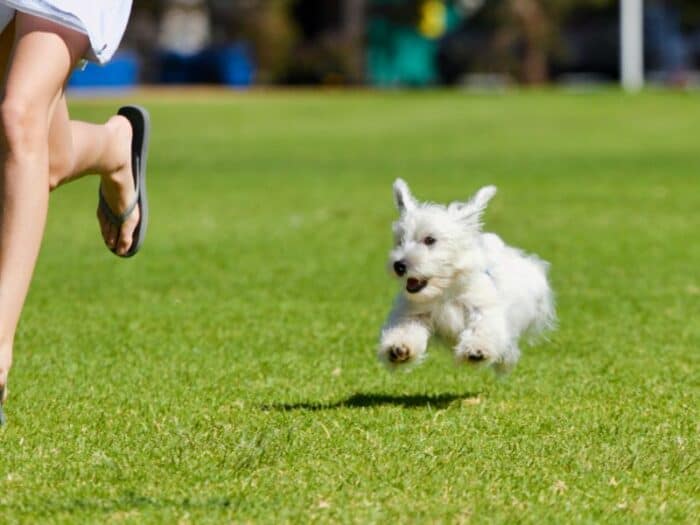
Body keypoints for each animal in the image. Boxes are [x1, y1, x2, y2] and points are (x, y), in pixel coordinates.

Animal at [380, 180, 556, 372]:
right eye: (400, 241)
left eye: (430, 240)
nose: (399, 265)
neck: (446, 290)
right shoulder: (414, 314)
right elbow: (405, 330)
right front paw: (398, 348)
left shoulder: (483, 308)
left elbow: (482, 329)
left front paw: (477, 350)